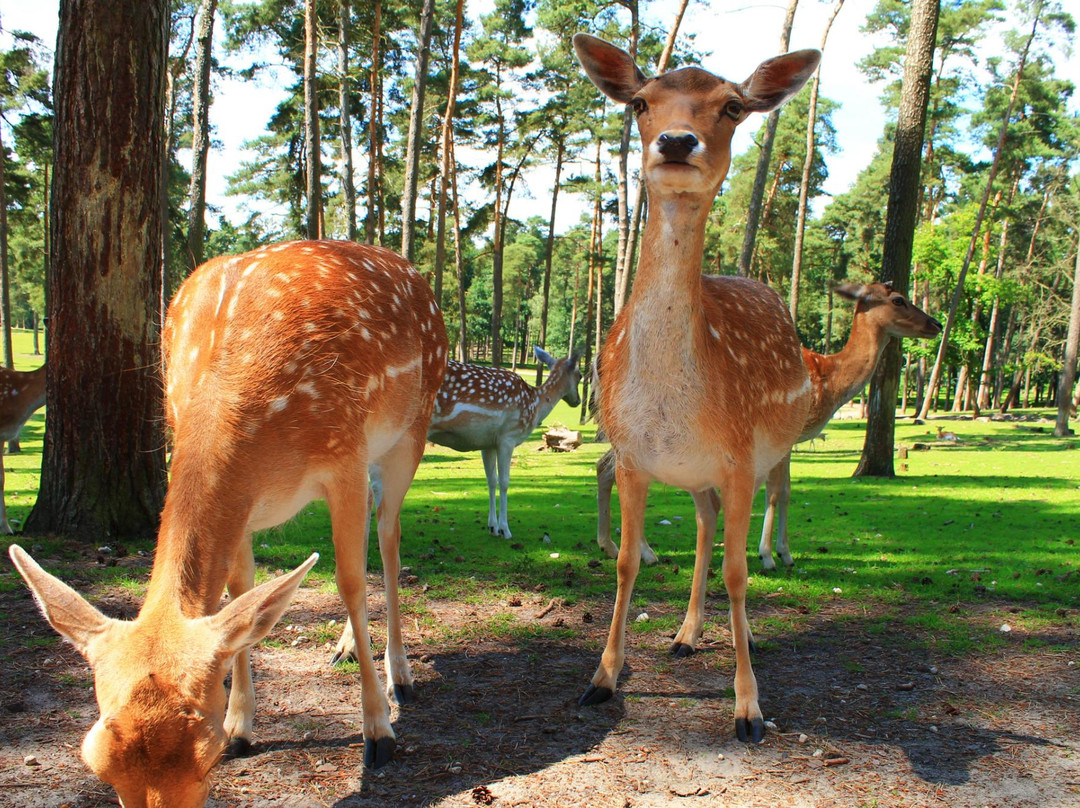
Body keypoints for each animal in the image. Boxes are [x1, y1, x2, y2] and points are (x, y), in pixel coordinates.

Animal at [9, 239, 447, 808]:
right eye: (96, 760)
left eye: (207, 755)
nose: (227, 738)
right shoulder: (245, 502)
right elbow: (241, 591)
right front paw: (244, 725)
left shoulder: (344, 456)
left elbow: (348, 581)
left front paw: (379, 731)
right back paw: (345, 648)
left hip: (410, 429)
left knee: (389, 537)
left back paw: (401, 674)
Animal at [574, 34, 816, 743]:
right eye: (640, 101)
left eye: (733, 105)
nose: (678, 141)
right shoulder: (632, 457)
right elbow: (626, 562)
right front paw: (601, 679)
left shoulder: (738, 457)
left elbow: (740, 571)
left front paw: (748, 709)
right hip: (699, 474)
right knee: (706, 525)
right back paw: (685, 634)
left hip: (764, 455)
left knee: (738, 536)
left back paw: (734, 636)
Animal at [600, 280, 946, 570]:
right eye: (899, 299)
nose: (936, 324)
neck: (830, 382)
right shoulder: (784, 439)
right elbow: (778, 492)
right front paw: (771, 554)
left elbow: (780, 490)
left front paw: (777, 551)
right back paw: (639, 551)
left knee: (606, 467)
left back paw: (621, 547)